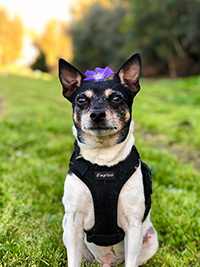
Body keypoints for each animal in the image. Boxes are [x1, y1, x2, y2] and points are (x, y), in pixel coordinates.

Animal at [58, 53, 159, 266]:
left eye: (116, 98)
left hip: (151, 239)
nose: (97, 114)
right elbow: (73, 260)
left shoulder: (133, 225)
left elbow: (131, 261)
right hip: (67, 231)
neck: (102, 161)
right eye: (81, 100)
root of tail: (106, 261)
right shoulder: (73, 221)